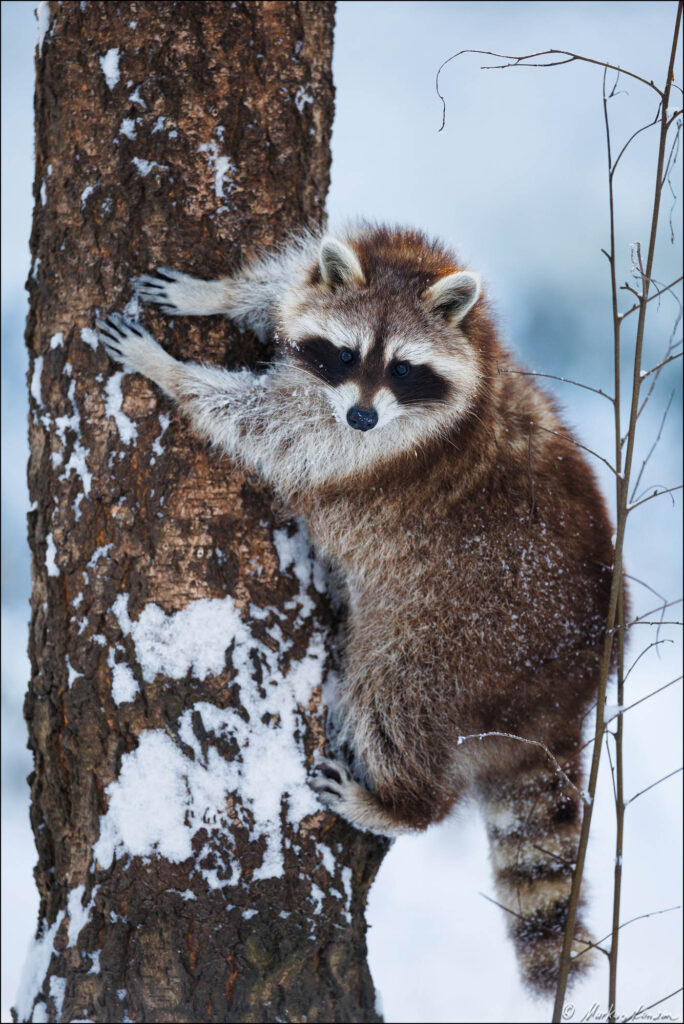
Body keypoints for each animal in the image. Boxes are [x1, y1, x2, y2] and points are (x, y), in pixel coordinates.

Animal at [96, 222, 614, 991]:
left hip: (453, 639)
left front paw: (171, 370)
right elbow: (285, 285)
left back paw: (399, 804)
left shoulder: (353, 446)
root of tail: (565, 692)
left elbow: (262, 425)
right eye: (345, 355)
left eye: (402, 368)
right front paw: (217, 295)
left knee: (394, 700)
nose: (364, 414)